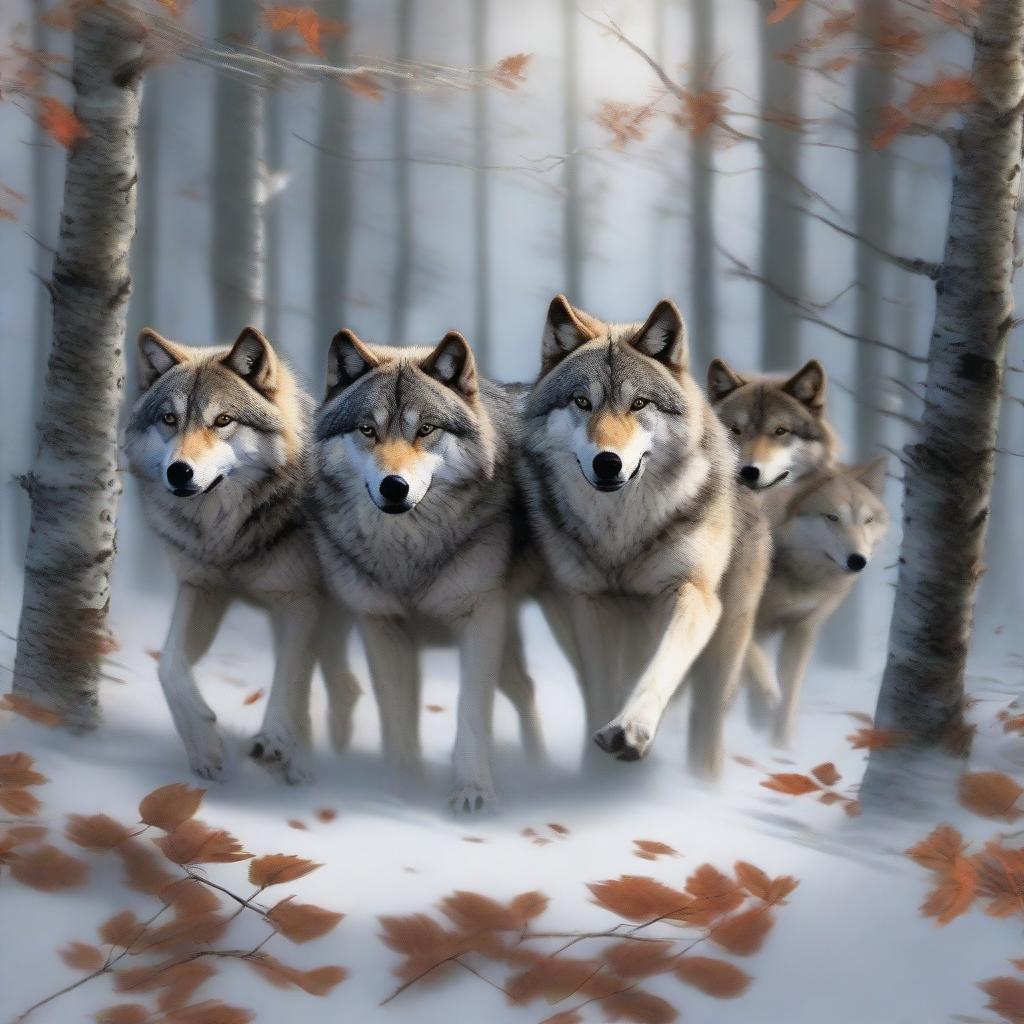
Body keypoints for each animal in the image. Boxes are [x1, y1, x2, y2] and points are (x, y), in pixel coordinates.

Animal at [124, 326, 361, 784]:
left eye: (222, 421)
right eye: (169, 420)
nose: (179, 471)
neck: (228, 536)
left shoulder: (299, 602)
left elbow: (289, 680)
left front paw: (272, 739)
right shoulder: (201, 587)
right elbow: (169, 665)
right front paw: (204, 745)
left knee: (336, 686)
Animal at [308, 328, 544, 815]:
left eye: (426, 430)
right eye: (368, 429)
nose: (394, 486)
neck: (408, 557)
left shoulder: (481, 621)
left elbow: (471, 710)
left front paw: (472, 791)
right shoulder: (381, 624)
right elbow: (396, 711)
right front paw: (404, 788)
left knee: (526, 691)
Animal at [518, 296, 771, 777]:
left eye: (639, 404)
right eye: (582, 402)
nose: (608, 462)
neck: (620, 532)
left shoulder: (692, 594)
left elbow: (659, 670)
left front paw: (630, 730)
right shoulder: (591, 605)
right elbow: (602, 690)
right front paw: (597, 771)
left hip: (724, 644)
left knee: (706, 722)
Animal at [745, 458, 889, 747]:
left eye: (868, 520)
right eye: (832, 517)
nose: (858, 560)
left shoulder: (803, 629)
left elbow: (791, 693)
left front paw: (781, 747)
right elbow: (755, 659)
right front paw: (767, 697)